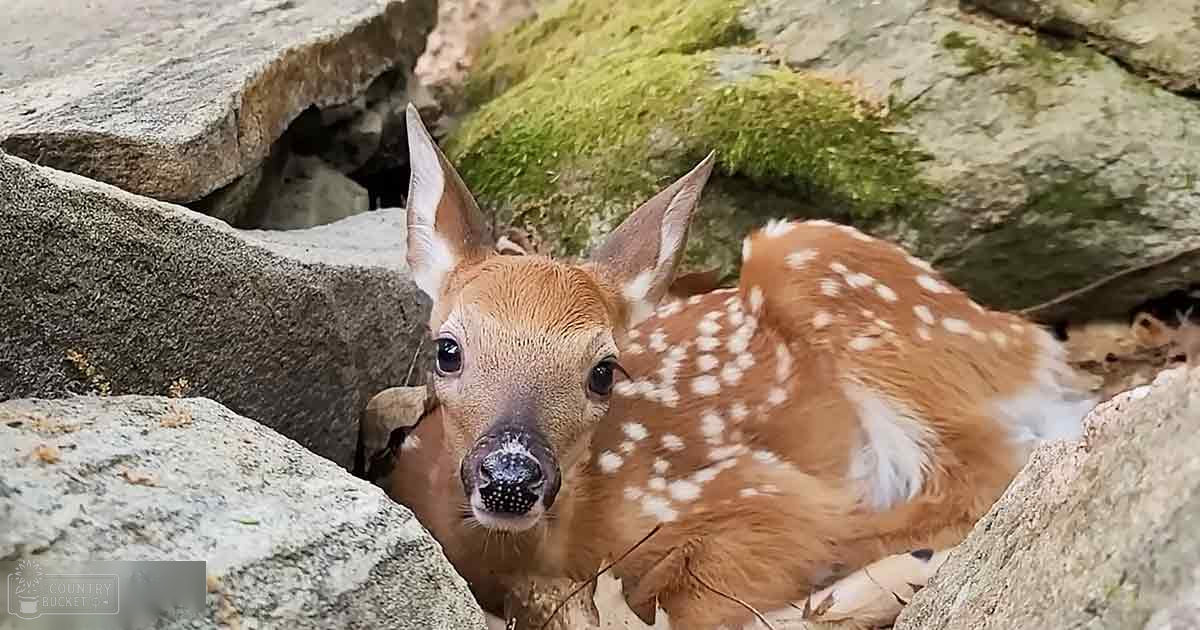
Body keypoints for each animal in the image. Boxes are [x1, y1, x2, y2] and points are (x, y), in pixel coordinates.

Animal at [387, 103, 1099, 629]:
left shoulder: (750, 493)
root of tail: (1024, 335)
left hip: (813, 264)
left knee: (980, 478)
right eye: (447, 349)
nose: (511, 478)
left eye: (604, 370)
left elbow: (704, 594)